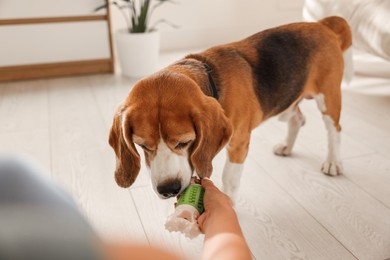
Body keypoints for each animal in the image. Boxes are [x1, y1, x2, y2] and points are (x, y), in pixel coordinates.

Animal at [108, 16, 352, 199]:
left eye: (184, 142)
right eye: (142, 145)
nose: (168, 190)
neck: (210, 80)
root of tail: (322, 24)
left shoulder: (239, 143)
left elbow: (229, 178)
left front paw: (228, 203)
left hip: (328, 97)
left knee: (335, 129)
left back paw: (333, 162)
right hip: (287, 100)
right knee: (298, 118)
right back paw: (286, 146)